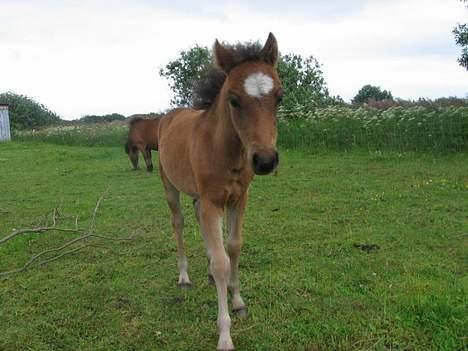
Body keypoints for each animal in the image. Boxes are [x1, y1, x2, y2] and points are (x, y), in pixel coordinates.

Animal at [156, 33, 282, 351]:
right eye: (233, 100)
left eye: (280, 97)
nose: (265, 161)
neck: (226, 151)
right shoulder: (213, 202)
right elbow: (222, 261)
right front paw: (225, 335)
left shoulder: (238, 198)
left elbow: (233, 246)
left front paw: (237, 302)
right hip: (170, 185)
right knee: (179, 223)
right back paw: (185, 277)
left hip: (201, 197)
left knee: (200, 222)